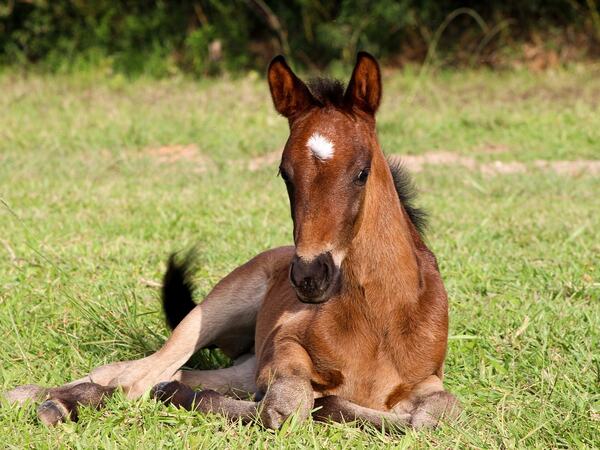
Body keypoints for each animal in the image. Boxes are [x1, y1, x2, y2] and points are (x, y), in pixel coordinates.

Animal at [5, 51, 460, 428]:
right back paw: (45, 399)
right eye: (285, 173)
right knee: (138, 375)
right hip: (216, 308)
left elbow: (435, 416)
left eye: (362, 172)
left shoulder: (427, 379)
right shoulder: (283, 348)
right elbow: (285, 408)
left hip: (243, 362)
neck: (378, 318)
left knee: (172, 373)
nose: (310, 277)